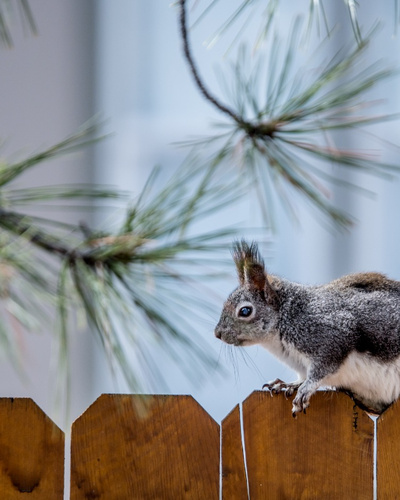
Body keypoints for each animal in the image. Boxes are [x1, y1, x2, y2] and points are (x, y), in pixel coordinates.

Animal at [216, 240, 400, 416]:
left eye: (245, 311)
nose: (217, 334)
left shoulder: (330, 336)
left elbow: (322, 368)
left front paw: (306, 389)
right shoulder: (300, 364)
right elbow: (302, 377)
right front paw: (289, 384)